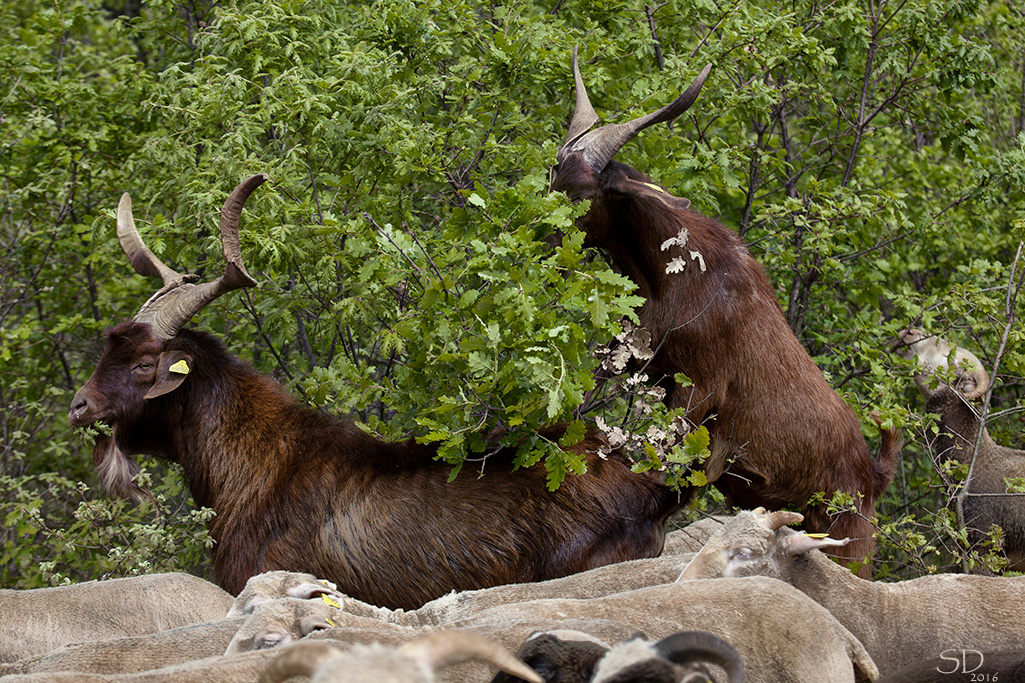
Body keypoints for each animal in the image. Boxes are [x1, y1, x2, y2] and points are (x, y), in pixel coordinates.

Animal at [549, 46, 902, 574]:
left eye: (584, 194)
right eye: (553, 173)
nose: (536, 235)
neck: (670, 276)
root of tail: (873, 474)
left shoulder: (699, 390)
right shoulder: (637, 360)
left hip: (850, 543)